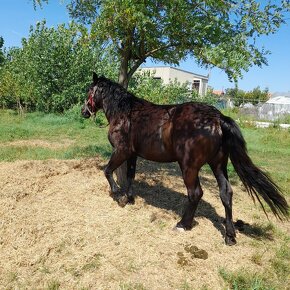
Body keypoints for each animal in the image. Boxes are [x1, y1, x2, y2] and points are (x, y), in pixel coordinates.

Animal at [81, 72, 288, 245]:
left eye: (89, 90)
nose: (84, 111)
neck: (126, 114)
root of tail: (217, 118)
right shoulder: (132, 154)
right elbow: (131, 176)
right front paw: (129, 198)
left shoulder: (121, 151)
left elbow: (107, 171)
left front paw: (118, 195)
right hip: (218, 165)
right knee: (226, 193)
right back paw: (230, 235)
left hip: (189, 167)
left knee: (195, 193)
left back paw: (183, 224)